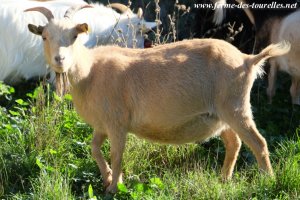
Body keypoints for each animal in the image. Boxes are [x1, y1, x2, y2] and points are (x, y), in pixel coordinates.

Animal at [26, 5, 290, 194]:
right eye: (44, 37)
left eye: (74, 36)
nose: (60, 60)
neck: (90, 70)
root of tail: (247, 60)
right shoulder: (103, 124)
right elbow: (94, 149)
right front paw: (108, 178)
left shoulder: (117, 123)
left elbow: (117, 154)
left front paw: (114, 187)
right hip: (218, 115)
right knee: (234, 143)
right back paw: (224, 179)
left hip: (235, 107)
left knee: (258, 143)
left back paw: (269, 181)